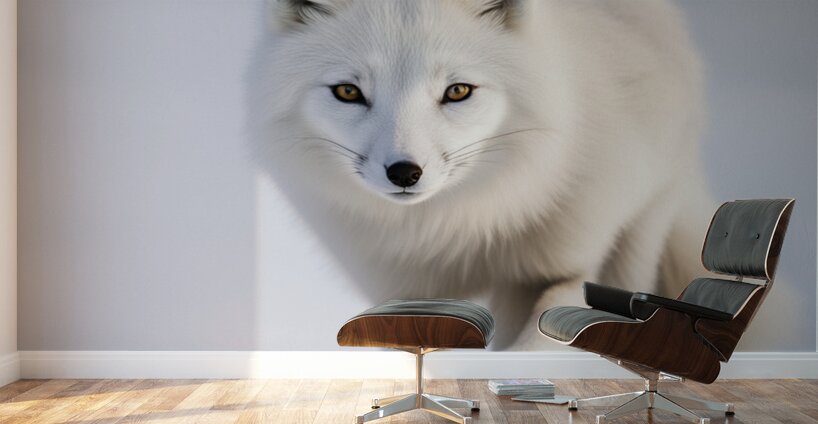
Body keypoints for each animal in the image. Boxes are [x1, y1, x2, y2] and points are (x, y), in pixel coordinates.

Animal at [246, 0, 713, 349]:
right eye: (348, 92)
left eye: (457, 91)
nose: (404, 173)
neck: (458, 227)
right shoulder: (401, 292)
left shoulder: (563, 268)